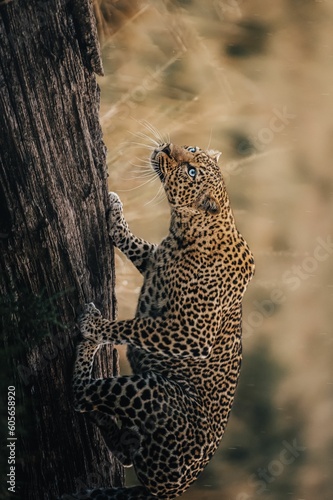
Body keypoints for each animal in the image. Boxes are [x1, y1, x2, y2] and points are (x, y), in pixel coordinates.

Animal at [67, 141, 254, 500]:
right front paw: (116, 218)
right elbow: (139, 246)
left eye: (192, 171)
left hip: (152, 394)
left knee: (81, 394)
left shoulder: (191, 334)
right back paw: (114, 430)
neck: (183, 229)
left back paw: (89, 344)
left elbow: (134, 328)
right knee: (123, 447)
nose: (167, 146)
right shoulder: (156, 260)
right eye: (191, 149)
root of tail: (167, 490)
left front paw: (96, 329)